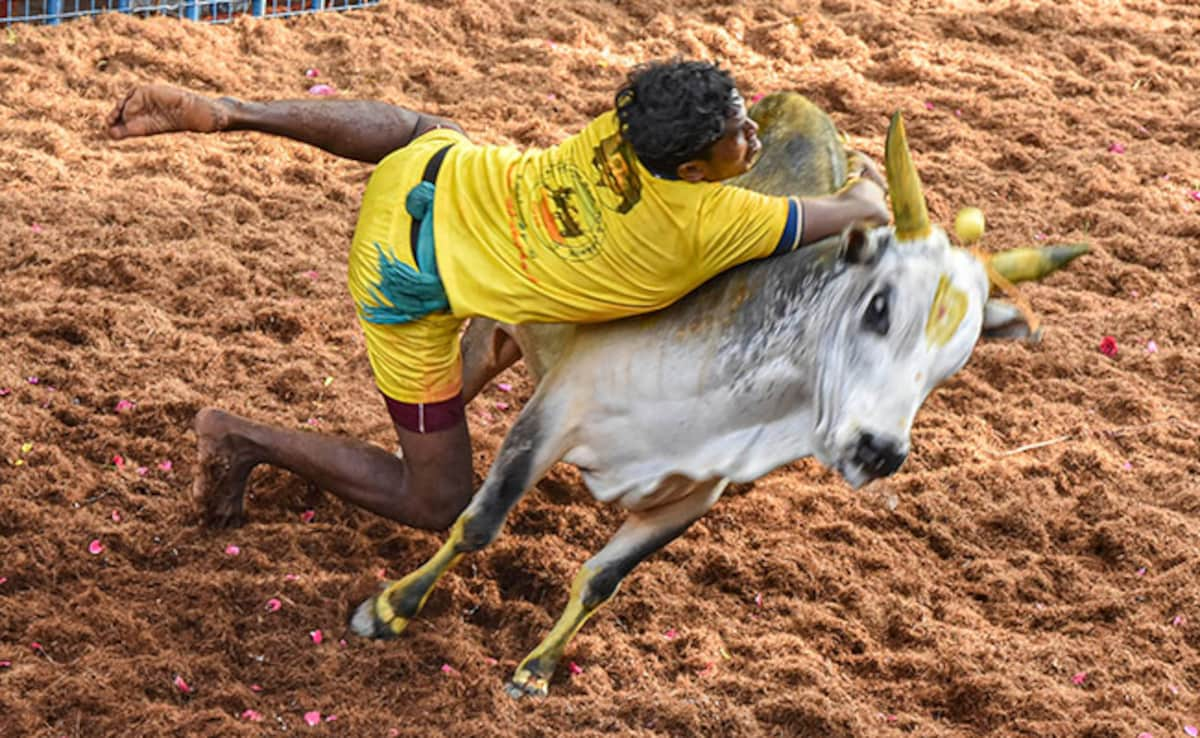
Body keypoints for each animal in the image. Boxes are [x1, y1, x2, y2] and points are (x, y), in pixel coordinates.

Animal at [350, 92, 1089, 700]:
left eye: (954, 361)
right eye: (878, 307)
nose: (879, 451)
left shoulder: (693, 494)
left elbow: (603, 578)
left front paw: (537, 669)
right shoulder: (554, 414)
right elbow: (479, 522)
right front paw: (390, 610)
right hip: (494, 333)